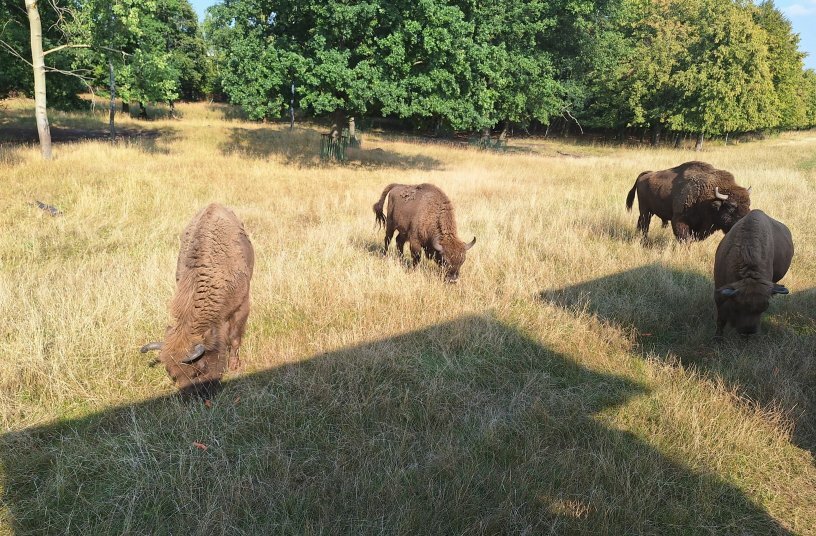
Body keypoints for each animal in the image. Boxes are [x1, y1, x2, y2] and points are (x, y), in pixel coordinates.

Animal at [141, 203, 255, 395]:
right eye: (172, 374)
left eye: (199, 370)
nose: (197, 397)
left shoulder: (241, 306)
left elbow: (235, 338)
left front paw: (234, 366)